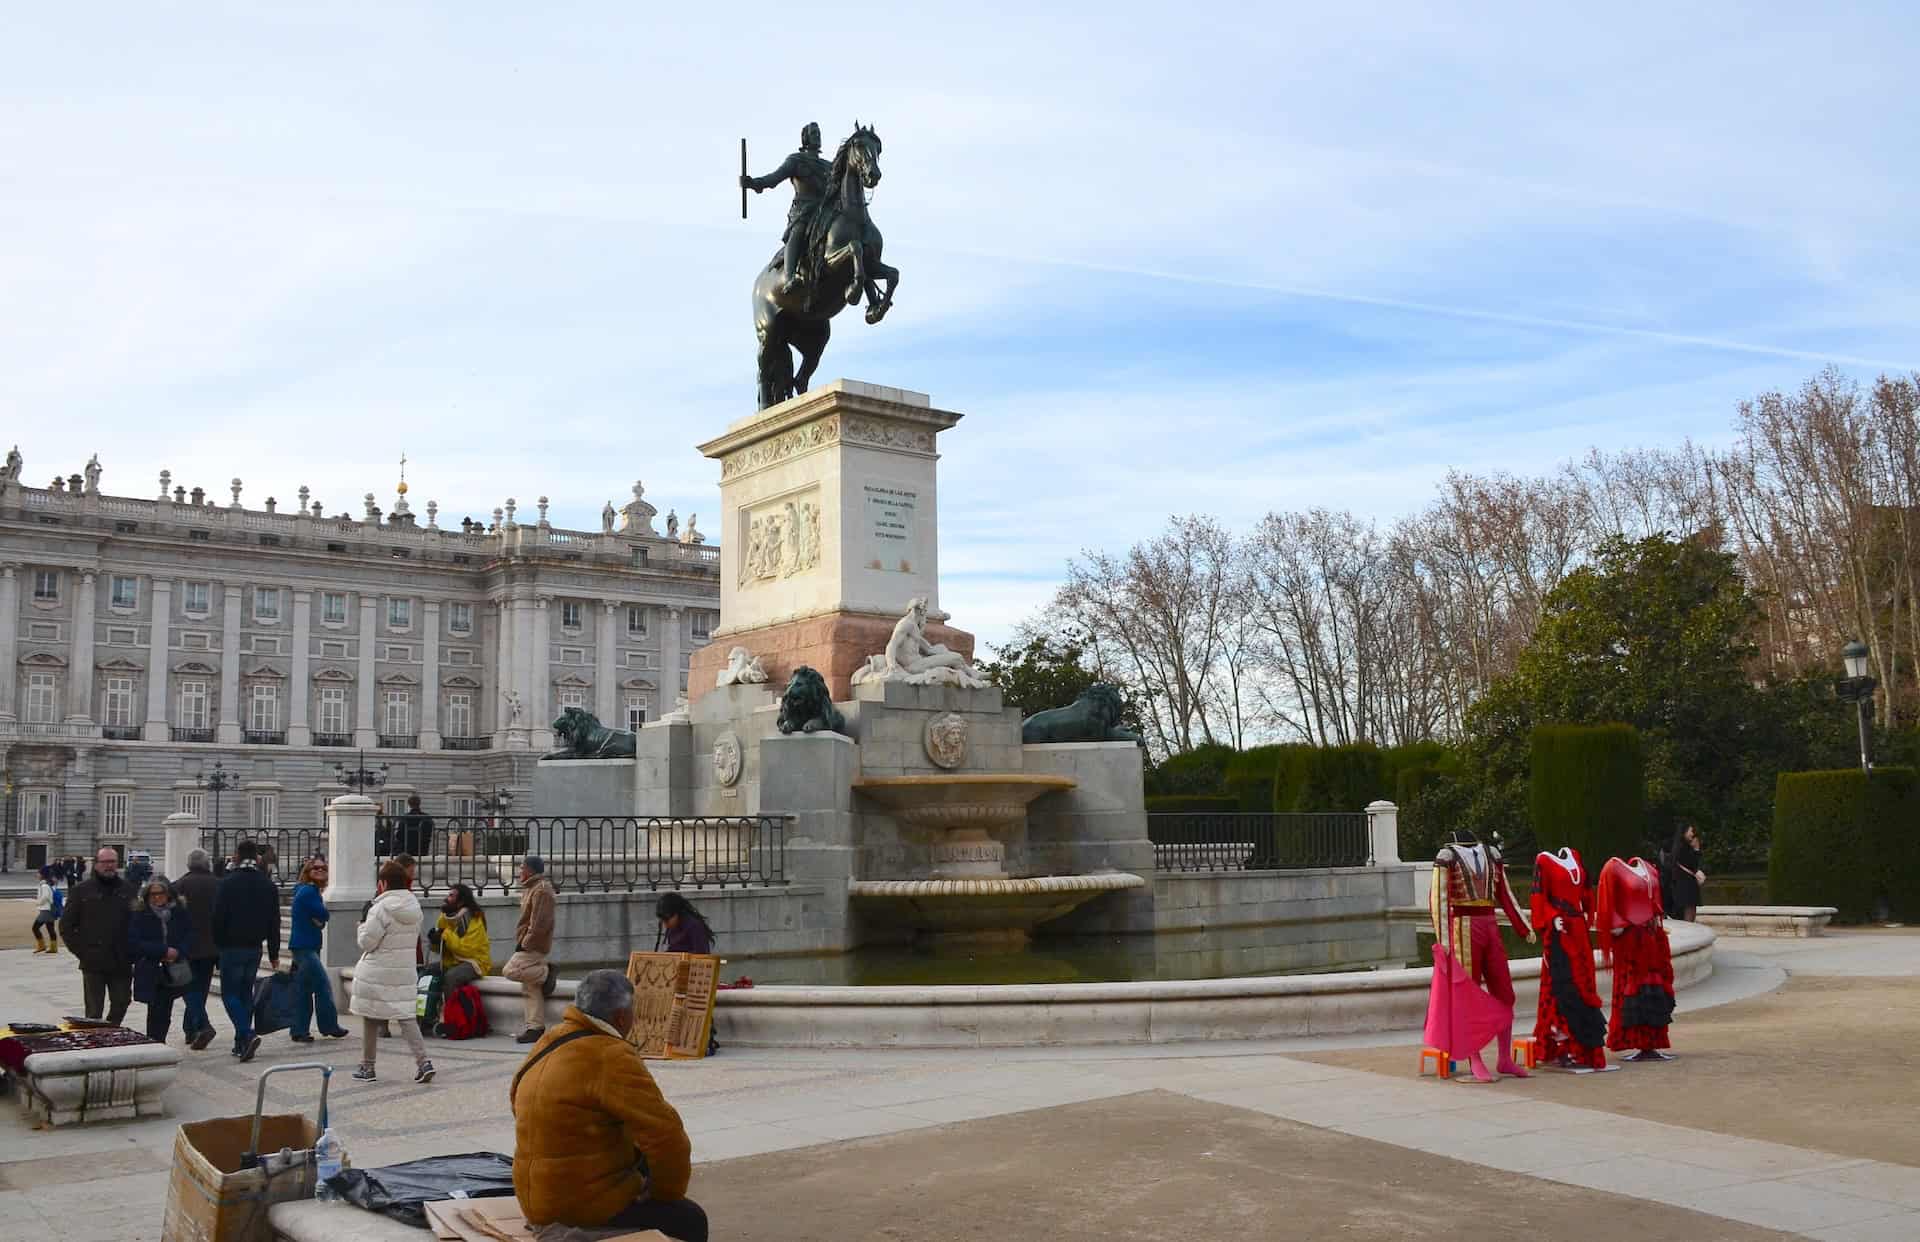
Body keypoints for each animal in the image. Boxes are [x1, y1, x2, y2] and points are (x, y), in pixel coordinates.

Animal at [748, 120, 898, 405]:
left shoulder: (875, 264)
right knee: (763, 373)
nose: (873, 175)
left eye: (878, 147)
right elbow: (854, 250)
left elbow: (892, 274)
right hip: (768, 333)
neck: (854, 215)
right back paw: (766, 406)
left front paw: (877, 309)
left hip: (813, 340)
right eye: (858, 145)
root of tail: (757, 287)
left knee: (799, 379)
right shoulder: (828, 264)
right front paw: (853, 291)